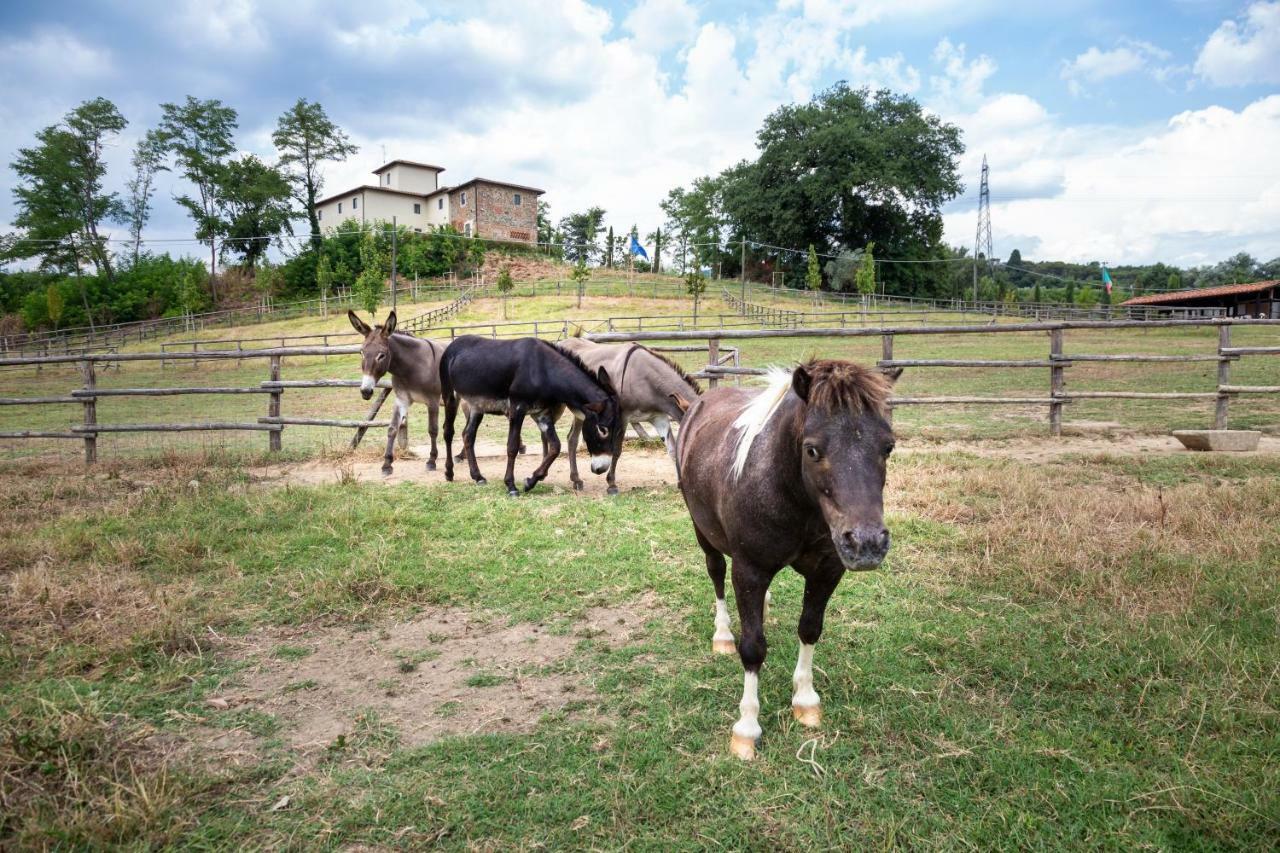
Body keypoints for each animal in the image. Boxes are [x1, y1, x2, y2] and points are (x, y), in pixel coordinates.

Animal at [675, 358, 896, 758]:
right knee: (716, 573)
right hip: (704, 533)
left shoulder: (827, 571)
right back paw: (722, 634)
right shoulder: (749, 571)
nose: (868, 543)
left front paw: (805, 700)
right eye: (812, 450)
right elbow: (752, 648)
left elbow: (809, 629)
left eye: (888, 447)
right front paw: (747, 728)